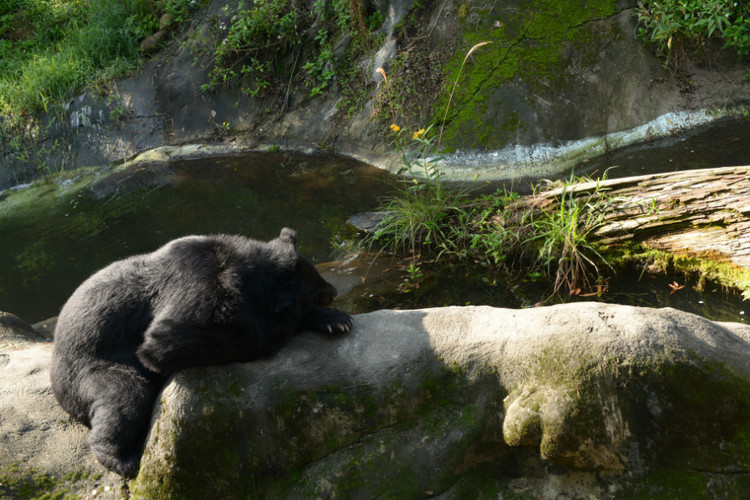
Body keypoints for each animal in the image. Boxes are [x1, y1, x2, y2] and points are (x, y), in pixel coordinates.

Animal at [51, 229, 354, 478]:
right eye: (317, 290)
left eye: (319, 278)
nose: (333, 291)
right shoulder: (203, 287)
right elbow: (164, 342)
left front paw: (337, 320)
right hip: (88, 370)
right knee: (124, 396)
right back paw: (123, 460)